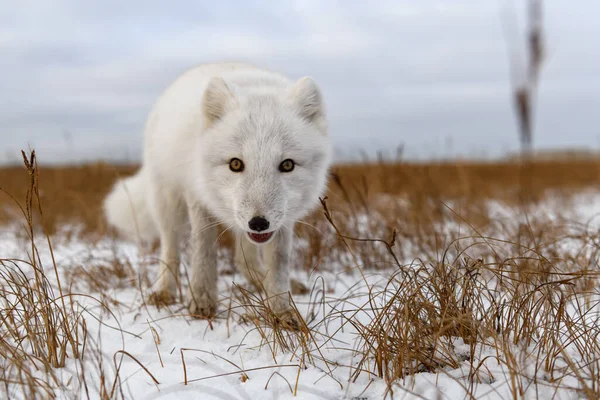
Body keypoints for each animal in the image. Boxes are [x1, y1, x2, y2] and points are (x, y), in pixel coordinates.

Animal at [106, 63, 336, 322]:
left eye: (287, 165)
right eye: (235, 164)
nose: (258, 223)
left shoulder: (283, 222)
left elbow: (278, 264)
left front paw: (282, 310)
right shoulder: (198, 199)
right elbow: (203, 253)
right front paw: (202, 300)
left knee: (243, 260)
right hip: (168, 204)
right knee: (170, 250)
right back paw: (164, 290)